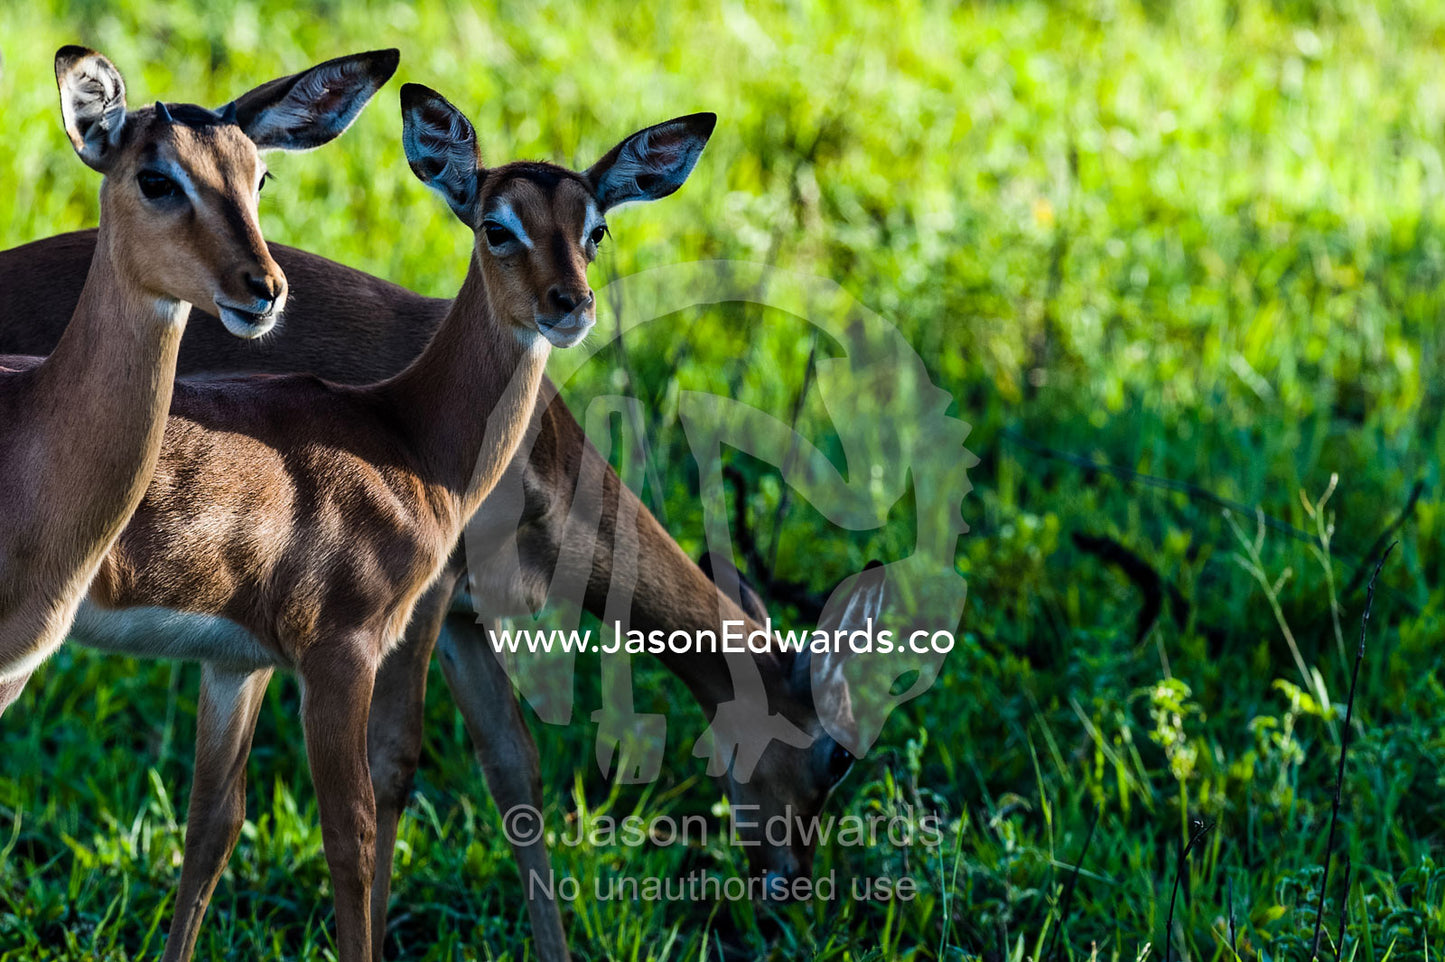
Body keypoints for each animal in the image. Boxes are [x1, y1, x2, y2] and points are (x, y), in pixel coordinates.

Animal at [0, 114, 881, 962]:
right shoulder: (404, 615)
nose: (792, 881)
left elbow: (513, 766)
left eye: (598, 228)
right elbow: (394, 768)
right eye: (837, 753)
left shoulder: (454, 620)